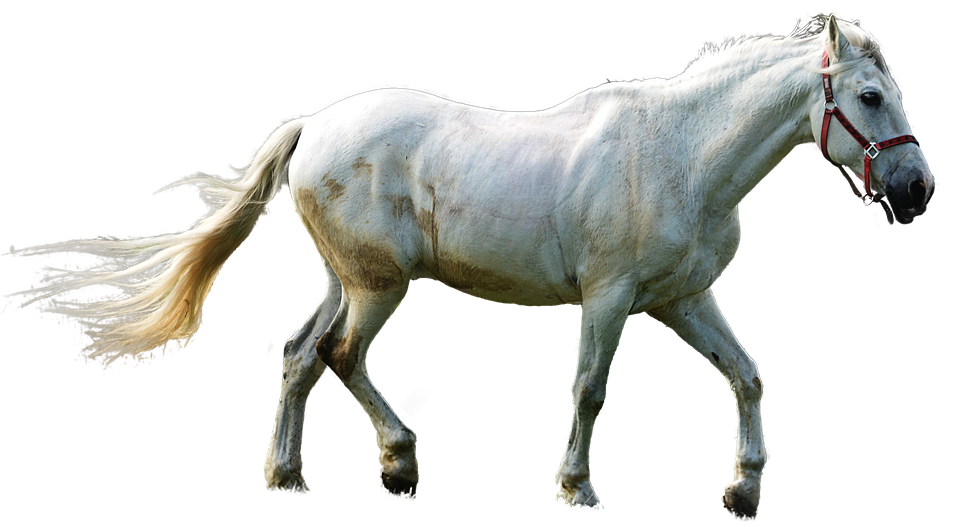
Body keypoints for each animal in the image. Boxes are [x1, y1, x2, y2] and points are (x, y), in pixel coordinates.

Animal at [2, 14, 934, 521]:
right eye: (870, 97)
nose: (917, 190)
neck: (680, 153)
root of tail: (312, 126)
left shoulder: (685, 298)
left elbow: (746, 375)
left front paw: (743, 489)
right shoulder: (611, 297)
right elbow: (591, 387)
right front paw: (576, 487)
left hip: (349, 280)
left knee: (302, 357)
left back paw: (297, 473)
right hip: (379, 286)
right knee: (338, 356)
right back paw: (391, 464)